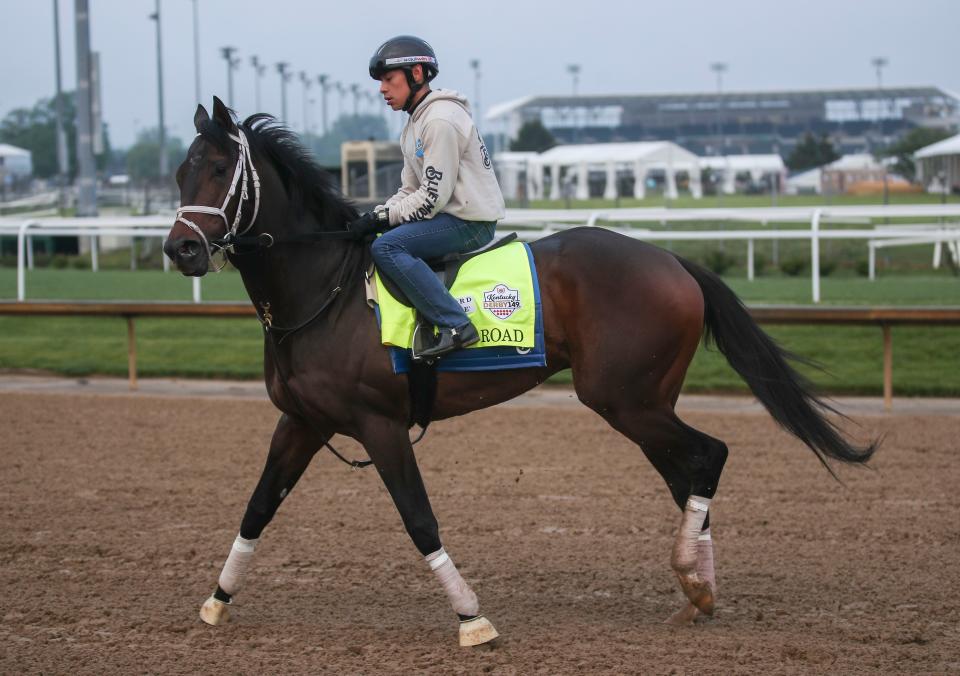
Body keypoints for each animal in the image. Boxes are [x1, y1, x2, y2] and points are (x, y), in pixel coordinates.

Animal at [165, 99, 876, 644]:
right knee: (689, 475)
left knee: (708, 456)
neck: (326, 292)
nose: (181, 249)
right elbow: (258, 507)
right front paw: (216, 601)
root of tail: (673, 260)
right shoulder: (303, 422)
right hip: (643, 403)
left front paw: (471, 618)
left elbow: (419, 519)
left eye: (221, 168)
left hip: (626, 399)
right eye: (179, 172)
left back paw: (694, 582)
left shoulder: (380, 424)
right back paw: (697, 590)